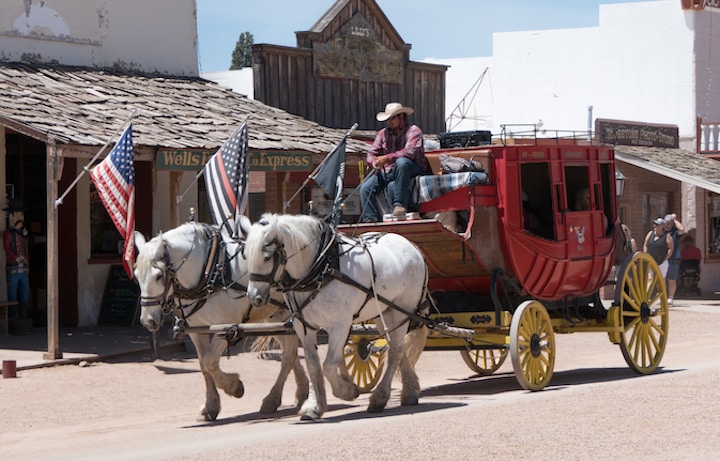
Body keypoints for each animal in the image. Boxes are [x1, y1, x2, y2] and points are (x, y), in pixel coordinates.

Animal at [134, 219, 308, 420]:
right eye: (136, 276)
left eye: (158, 276)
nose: (147, 320)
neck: (210, 272)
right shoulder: (197, 330)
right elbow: (203, 364)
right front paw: (211, 405)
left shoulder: (226, 327)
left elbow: (210, 362)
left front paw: (234, 387)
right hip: (276, 318)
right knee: (291, 353)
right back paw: (301, 393)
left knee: (288, 356)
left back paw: (272, 399)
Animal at [242, 214, 430, 418]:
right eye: (245, 256)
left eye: (267, 257)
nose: (254, 297)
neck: (322, 268)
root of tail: (412, 246)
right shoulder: (303, 326)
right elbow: (313, 364)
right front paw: (314, 406)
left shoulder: (340, 324)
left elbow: (328, 365)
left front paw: (346, 391)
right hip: (384, 314)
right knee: (398, 347)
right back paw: (409, 391)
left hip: (401, 311)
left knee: (395, 351)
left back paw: (380, 397)